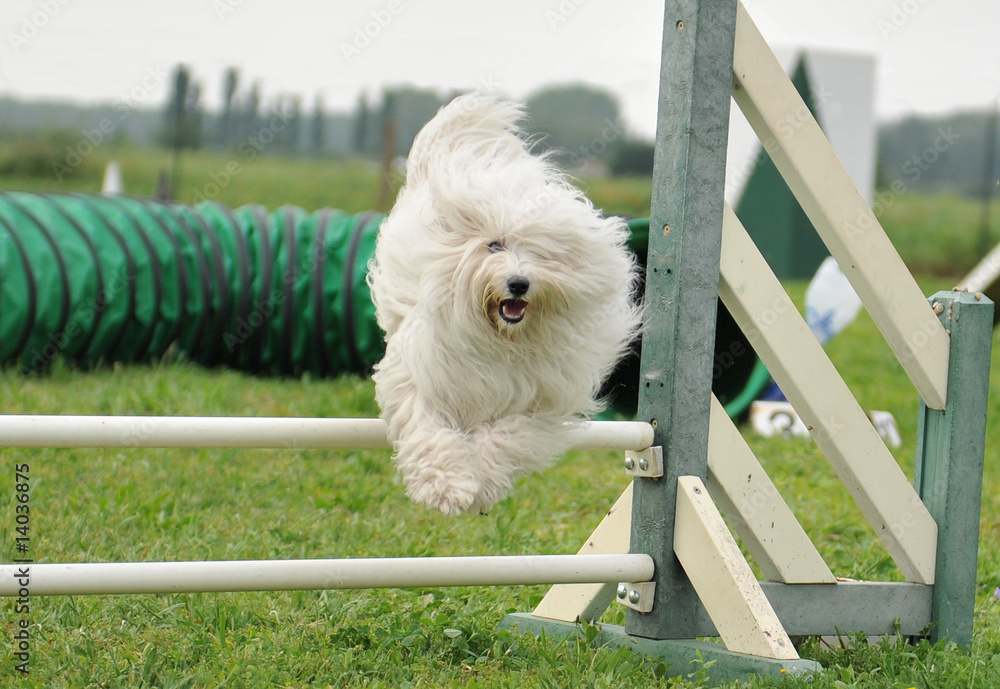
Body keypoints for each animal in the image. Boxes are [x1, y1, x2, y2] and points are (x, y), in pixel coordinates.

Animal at [368, 94, 640, 512]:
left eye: (542, 253)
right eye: (494, 245)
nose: (518, 283)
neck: (500, 338)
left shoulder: (542, 402)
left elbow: (507, 435)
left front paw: (480, 481)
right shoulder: (421, 373)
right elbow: (427, 426)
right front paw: (446, 485)